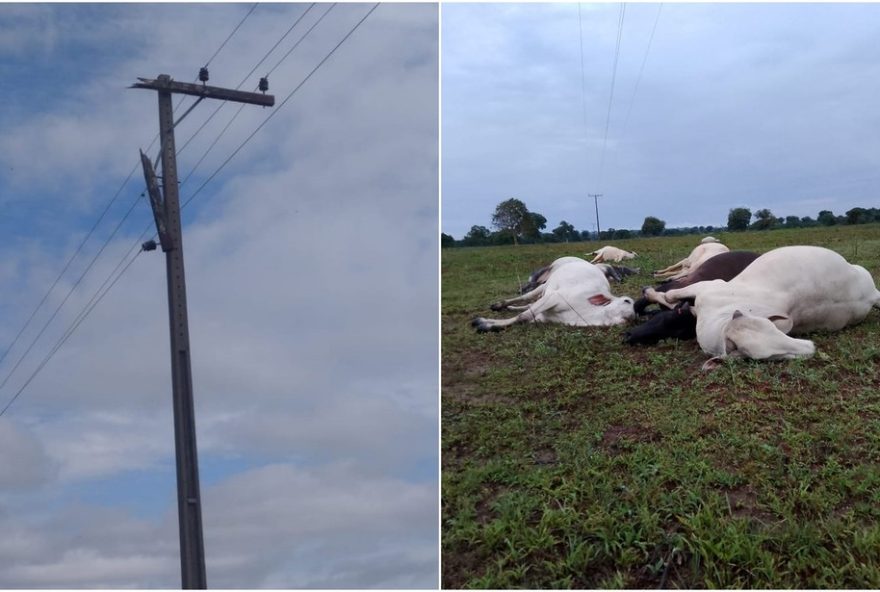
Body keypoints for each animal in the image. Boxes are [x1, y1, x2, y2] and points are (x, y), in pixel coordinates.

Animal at [664, 245, 880, 366]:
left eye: (767, 356)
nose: (811, 348)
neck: (719, 322)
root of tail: (871, 295)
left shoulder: (710, 286)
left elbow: (670, 294)